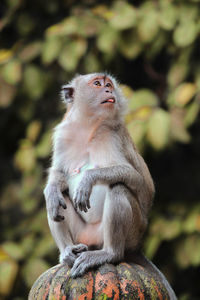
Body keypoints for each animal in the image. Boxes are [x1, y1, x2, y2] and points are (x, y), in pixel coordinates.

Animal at [43, 73, 155, 278]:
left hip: (131, 233)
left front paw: (88, 179)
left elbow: (134, 176)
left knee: (118, 188)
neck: (88, 126)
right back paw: (67, 252)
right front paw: (52, 189)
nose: (108, 89)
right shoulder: (63, 134)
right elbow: (58, 171)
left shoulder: (110, 134)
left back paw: (110, 253)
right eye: (97, 83)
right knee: (58, 201)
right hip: (82, 236)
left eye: (108, 84)